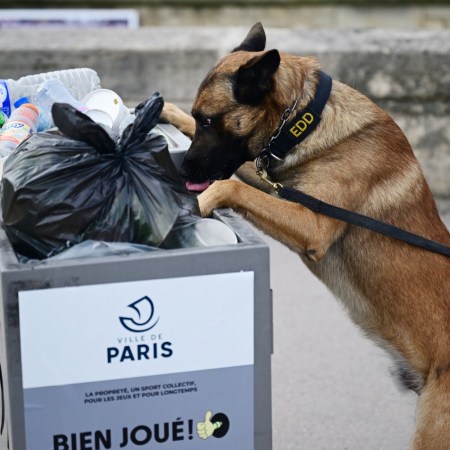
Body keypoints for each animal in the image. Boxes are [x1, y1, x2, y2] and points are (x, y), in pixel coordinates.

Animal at [162, 22, 450, 448]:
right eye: (198, 119)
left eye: (210, 121)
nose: (185, 172)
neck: (304, 119)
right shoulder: (275, 183)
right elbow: (243, 175)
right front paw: (169, 112)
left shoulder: (311, 225)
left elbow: (231, 187)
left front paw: (199, 203)